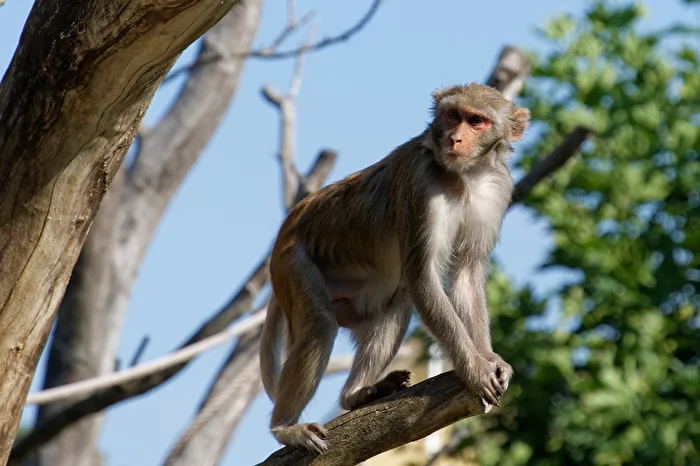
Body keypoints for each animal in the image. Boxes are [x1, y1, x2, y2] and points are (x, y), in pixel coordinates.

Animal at [259, 83, 529, 454]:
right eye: (453, 115)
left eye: (477, 121)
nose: (456, 138)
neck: (465, 177)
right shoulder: (421, 183)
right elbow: (421, 277)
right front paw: (474, 368)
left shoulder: (497, 187)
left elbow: (467, 275)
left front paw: (487, 356)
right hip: (291, 263)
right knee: (320, 324)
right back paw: (285, 427)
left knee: (398, 303)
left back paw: (356, 394)